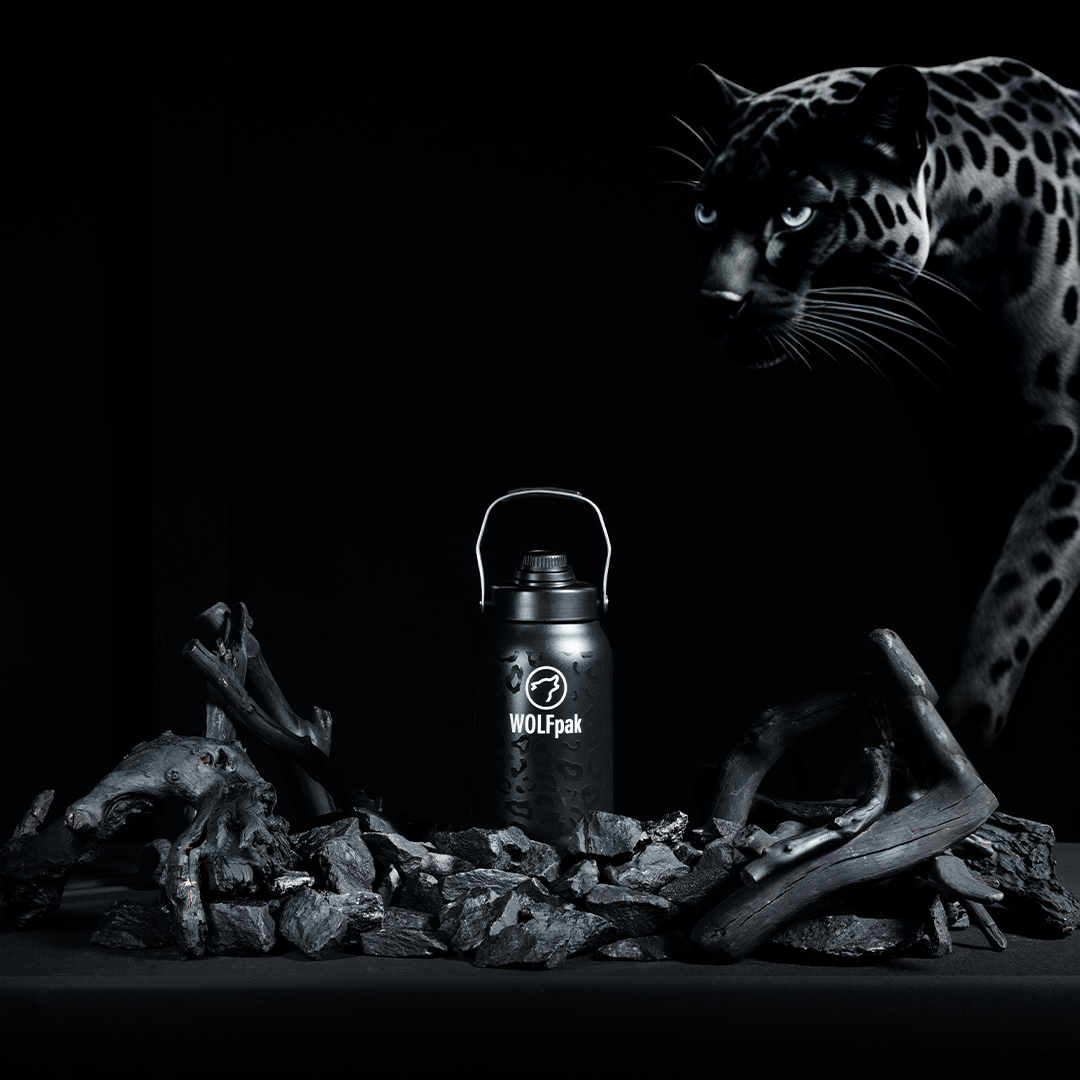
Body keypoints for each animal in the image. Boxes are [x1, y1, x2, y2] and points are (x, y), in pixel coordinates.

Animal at [666, 57, 1079, 758]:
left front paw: (956, 736)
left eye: (796, 214)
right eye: (705, 210)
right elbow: (989, 587)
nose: (716, 303)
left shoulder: (1067, 454)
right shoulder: (967, 464)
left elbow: (1016, 594)